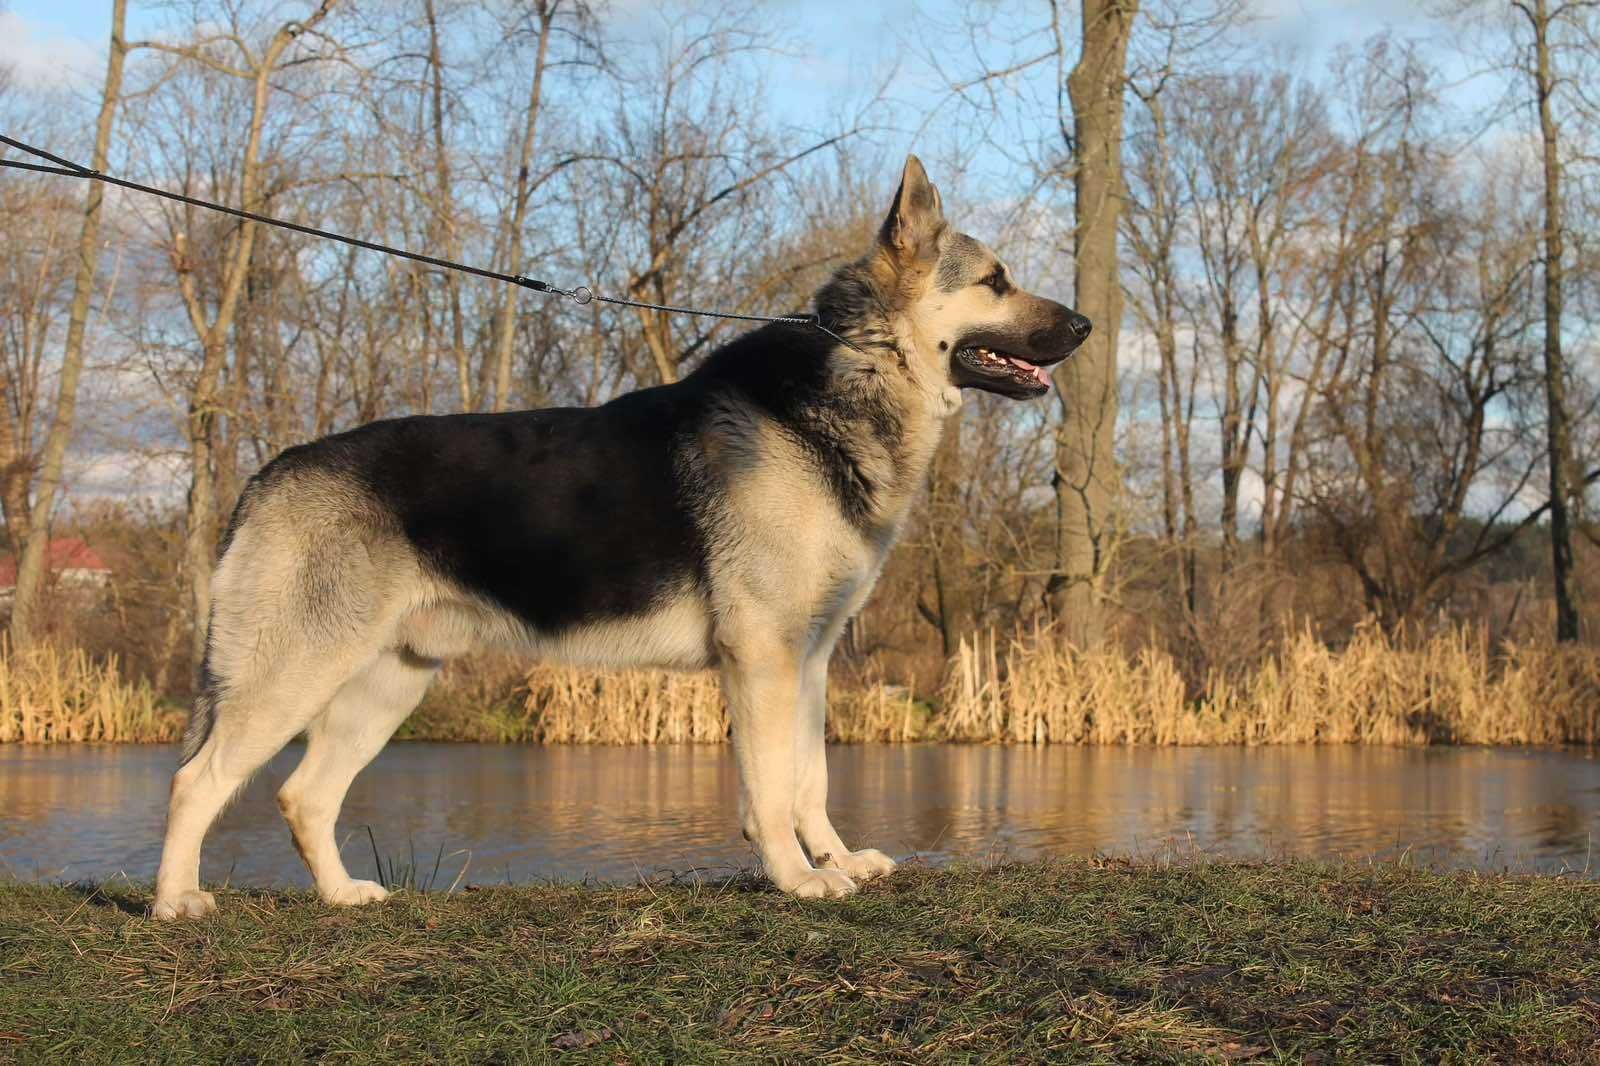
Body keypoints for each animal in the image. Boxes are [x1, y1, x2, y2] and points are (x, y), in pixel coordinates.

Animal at [152, 153, 1088, 915]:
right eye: (996, 280)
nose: (1083, 328)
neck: (849, 374)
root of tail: (269, 474)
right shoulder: (761, 659)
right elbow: (771, 787)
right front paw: (795, 877)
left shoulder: (809, 660)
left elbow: (811, 779)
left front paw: (836, 859)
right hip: (292, 677)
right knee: (197, 780)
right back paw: (175, 903)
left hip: (386, 685)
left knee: (303, 796)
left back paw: (342, 895)